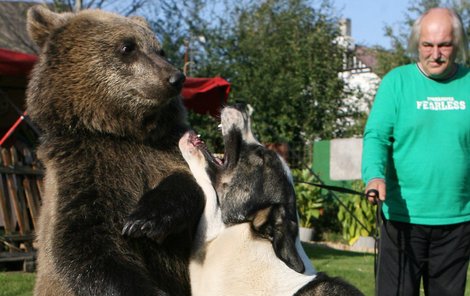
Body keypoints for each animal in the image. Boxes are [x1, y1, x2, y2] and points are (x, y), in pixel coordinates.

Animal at [26, 5, 205, 296]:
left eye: (160, 50)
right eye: (127, 46)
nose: (176, 77)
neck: (119, 132)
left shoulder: (163, 149)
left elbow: (189, 180)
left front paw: (145, 219)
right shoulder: (82, 169)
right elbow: (86, 250)